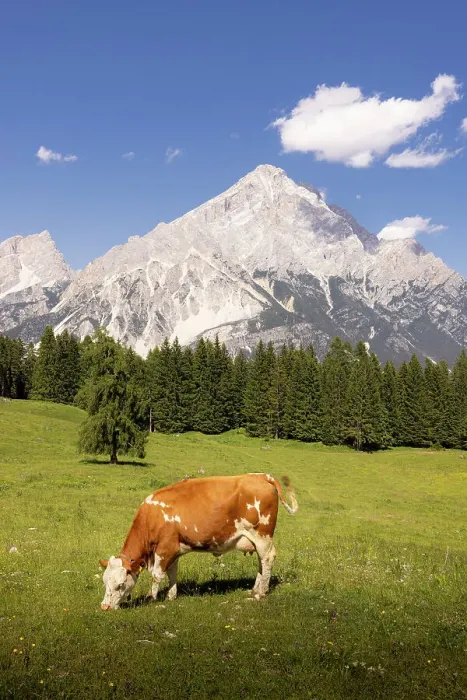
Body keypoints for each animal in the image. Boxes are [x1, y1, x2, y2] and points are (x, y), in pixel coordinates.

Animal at [99, 472, 298, 610]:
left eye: (120, 584)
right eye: (104, 581)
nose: (104, 607)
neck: (152, 516)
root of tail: (262, 476)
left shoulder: (165, 548)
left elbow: (157, 575)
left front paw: (151, 597)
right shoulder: (174, 549)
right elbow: (172, 573)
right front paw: (171, 596)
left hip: (262, 535)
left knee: (267, 558)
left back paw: (261, 593)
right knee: (261, 561)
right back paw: (255, 589)